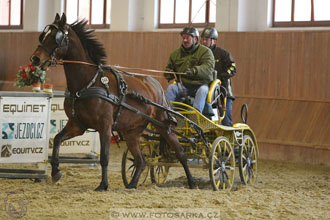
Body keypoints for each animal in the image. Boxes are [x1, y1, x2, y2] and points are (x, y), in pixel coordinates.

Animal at [29, 13, 195, 192]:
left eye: (56, 37)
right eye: (43, 36)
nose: (35, 58)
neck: (87, 83)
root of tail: (156, 85)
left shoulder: (105, 126)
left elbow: (104, 156)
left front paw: (103, 184)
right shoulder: (77, 125)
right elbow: (58, 139)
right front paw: (55, 172)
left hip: (163, 125)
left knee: (180, 152)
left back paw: (192, 182)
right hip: (131, 132)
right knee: (141, 160)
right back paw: (132, 184)